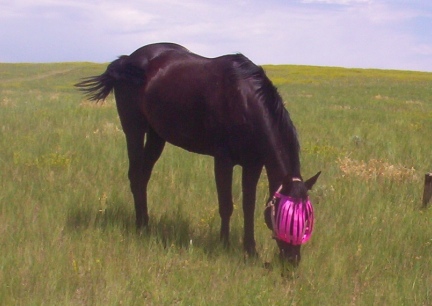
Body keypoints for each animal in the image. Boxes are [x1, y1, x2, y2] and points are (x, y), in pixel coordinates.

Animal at [76, 42, 320, 266]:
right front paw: (224, 245)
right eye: (287, 217)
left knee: (143, 177)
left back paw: (146, 223)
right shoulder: (223, 160)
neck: (244, 101)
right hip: (133, 128)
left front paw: (250, 251)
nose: (292, 261)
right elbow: (226, 205)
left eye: (307, 219)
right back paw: (140, 227)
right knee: (135, 174)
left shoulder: (253, 164)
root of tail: (127, 59)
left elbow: (248, 206)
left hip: (157, 135)